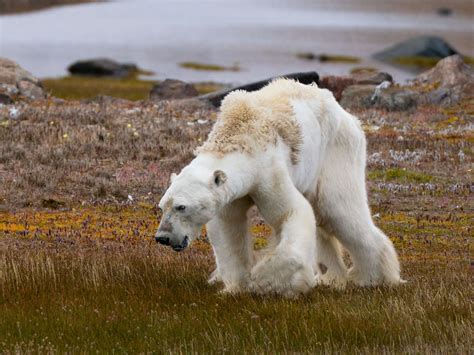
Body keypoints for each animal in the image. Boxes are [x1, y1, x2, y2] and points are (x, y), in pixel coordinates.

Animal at [156, 78, 404, 298]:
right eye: (162, 206)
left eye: (181, 206)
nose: (162, 237)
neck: (239, 136)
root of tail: (349, 117)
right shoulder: (231, 194)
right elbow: (228, 228)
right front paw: (235, 287)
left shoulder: (268, 171)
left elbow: (291, 212)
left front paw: (267, 281)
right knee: (323, 220)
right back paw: (331, 277)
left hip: (335, 151)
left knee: (338, 210)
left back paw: (373, 278)